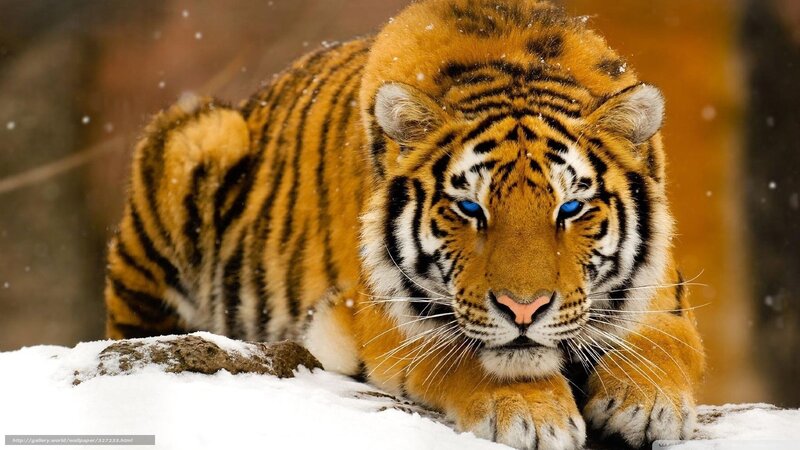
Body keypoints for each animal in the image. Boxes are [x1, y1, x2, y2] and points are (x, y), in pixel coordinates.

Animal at [104, 0, 705, 448]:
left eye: (570, 209)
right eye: (470, 209)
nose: (524, 310)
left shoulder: (663, 296)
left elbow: (663, 344)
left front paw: (647, 404)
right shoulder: (382, 315)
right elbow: (467, 354)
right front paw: (533, 415)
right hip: (198, 139)